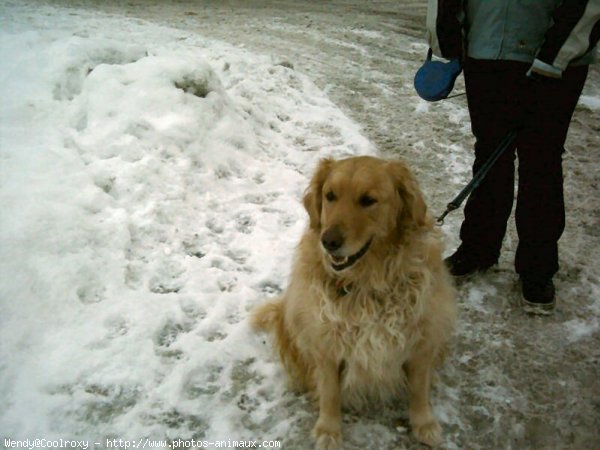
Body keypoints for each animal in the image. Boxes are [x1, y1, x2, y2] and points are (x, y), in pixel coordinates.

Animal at [252, 156, 454, 448]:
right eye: (330, 196)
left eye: (368, 200)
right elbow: (330, 392)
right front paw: (328, 431)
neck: (368, 281)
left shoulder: (423, 339)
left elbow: (419, 389)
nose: (328, 241)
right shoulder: (326, 344)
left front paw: (424, 423)